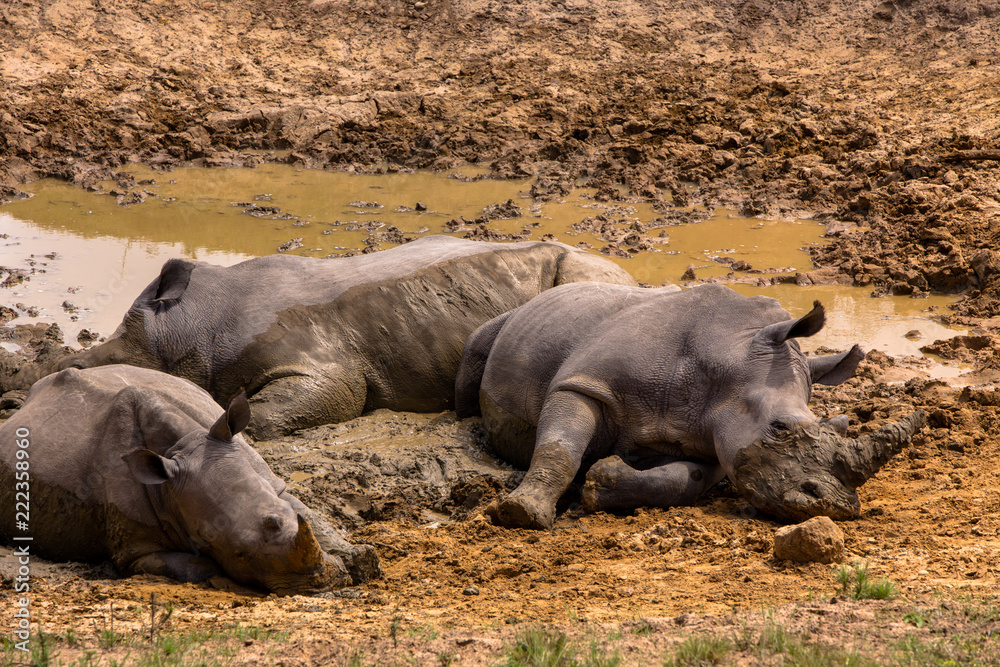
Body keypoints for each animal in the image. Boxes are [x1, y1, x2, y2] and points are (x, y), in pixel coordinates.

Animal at [0, 365, 379, 594]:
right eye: (238, 553)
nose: (319, 585)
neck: (181, 448)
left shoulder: (273, 482)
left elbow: (312, 516)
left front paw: (361, 560)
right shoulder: (135, 548)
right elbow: (196, 568)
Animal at [456, 282, 924, 529]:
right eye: (779, 428)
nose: (835, 506)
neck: (725, 360)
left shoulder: (716, 438)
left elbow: (686, 478)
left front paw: (600, 482)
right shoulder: (584, 384)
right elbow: (560, 446)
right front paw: (522, 513)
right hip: (513, 321)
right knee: (475, 347)